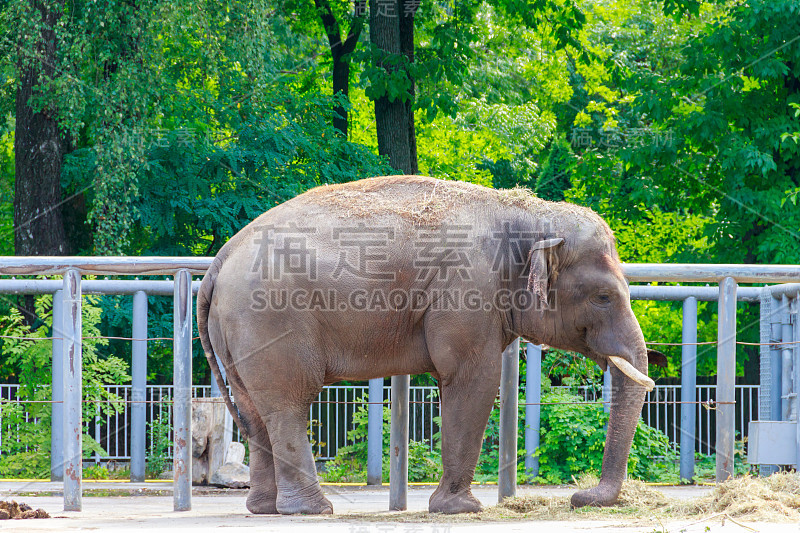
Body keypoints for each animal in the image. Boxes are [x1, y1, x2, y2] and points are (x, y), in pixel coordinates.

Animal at [197, 177, 660, 512]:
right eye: (604, 297)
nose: (580, 497)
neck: (527, 213)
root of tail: (221, 258)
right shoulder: (467, 291)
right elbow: (473, 379)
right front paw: (461, 509)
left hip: (239, 333)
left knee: (254, 411)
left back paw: (265, 510)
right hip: (269, 321)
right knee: (288, 403)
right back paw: (314, 511)